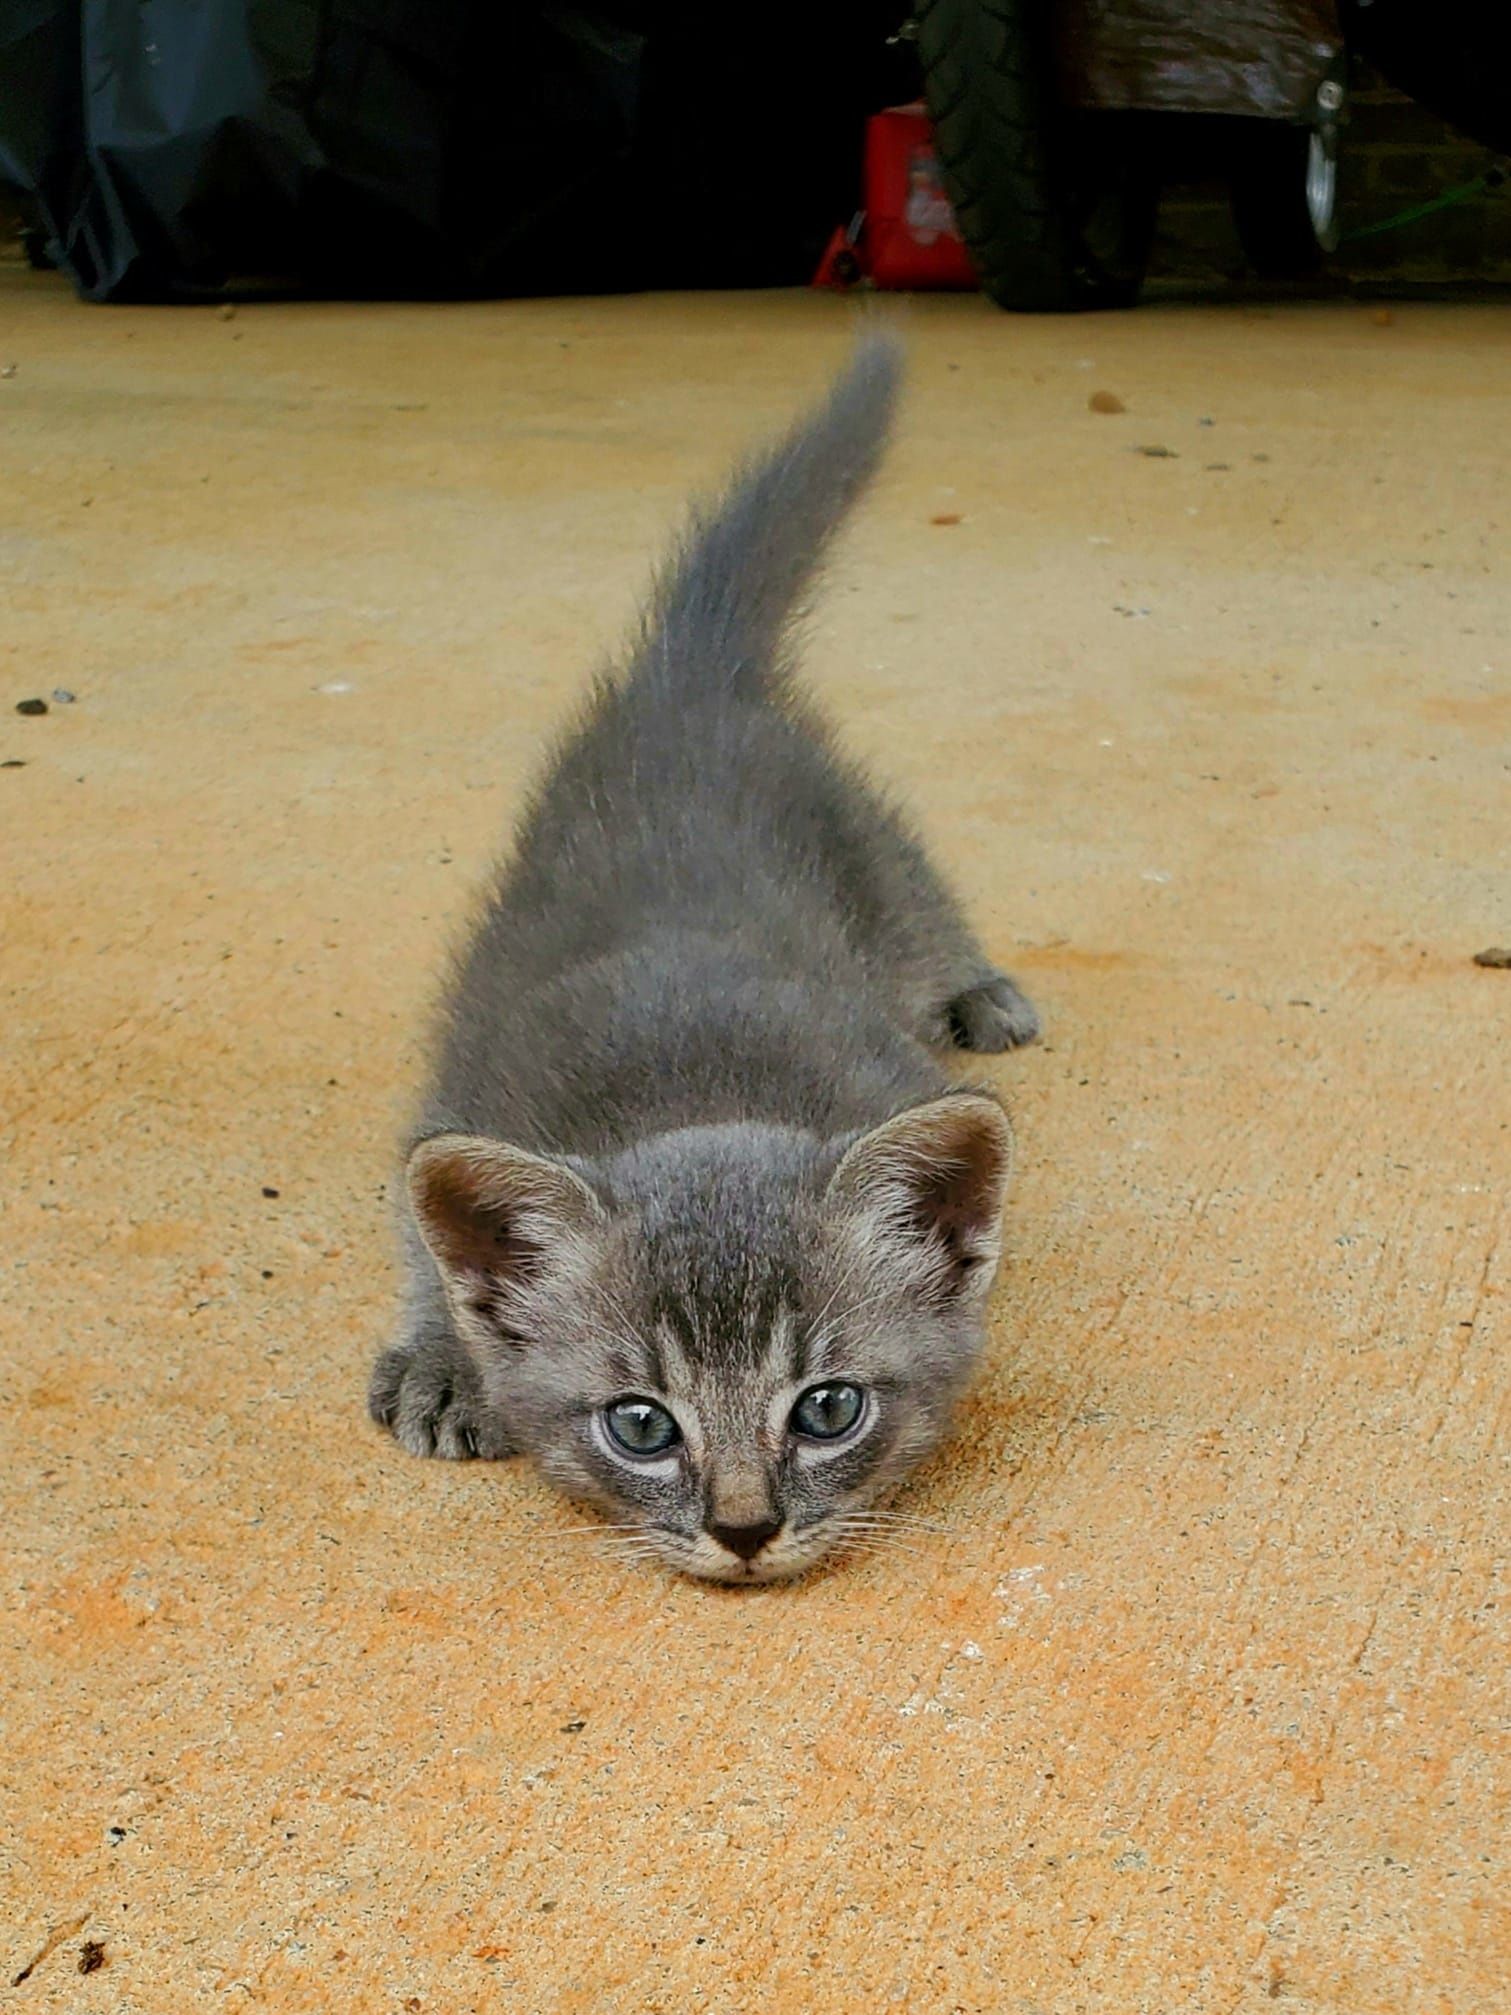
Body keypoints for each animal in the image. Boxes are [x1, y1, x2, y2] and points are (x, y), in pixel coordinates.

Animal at [372, 338, 1047, 1579]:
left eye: (827, 1407)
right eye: (641, 1424)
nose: (743, 1528)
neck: (695, 1084)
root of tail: (691, 683)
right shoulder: (472, 1079)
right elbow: (418, 1224)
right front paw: (447, 1355)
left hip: (858, 840)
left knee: (917, 894)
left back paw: (980, 986)